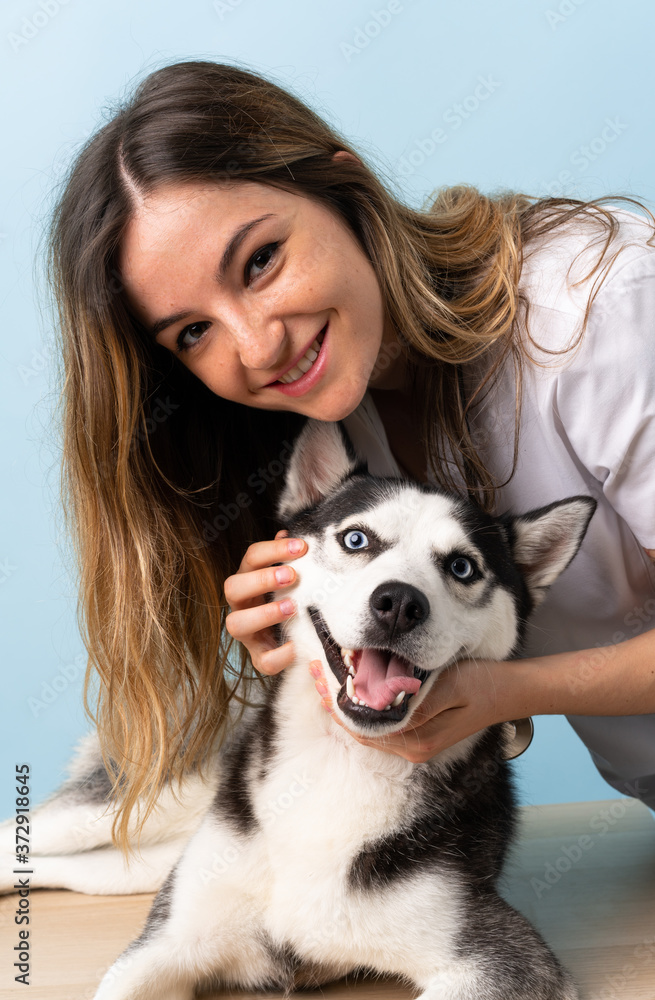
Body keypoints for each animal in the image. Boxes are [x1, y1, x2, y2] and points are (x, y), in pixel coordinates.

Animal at [0, 420, 596, 1000]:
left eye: (462, 567)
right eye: (356, 539)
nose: (400, 603)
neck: (338, 762)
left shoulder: (497, 956)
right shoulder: (168, 944)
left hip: (135, 864)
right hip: (126, 809)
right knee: (22, 833)